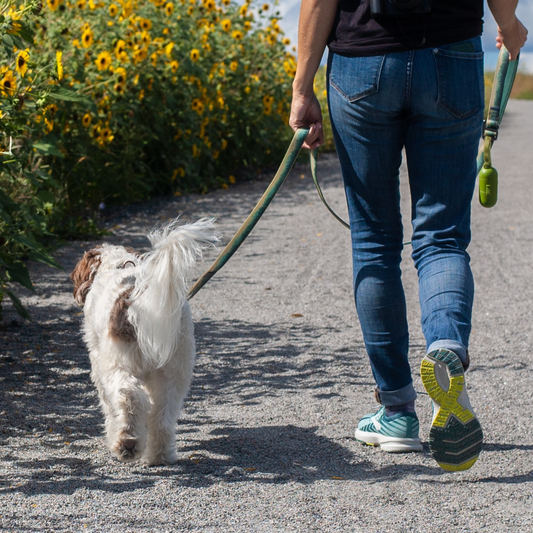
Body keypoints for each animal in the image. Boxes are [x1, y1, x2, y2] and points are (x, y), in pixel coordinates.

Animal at [70, 218, 216, 464]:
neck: (116, 264)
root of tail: (138, 298)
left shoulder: (99, 364)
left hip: (119, 365)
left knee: (129, 398)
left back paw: (127, 443)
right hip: (174, 372)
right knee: (162, 416)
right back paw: (159, 455)